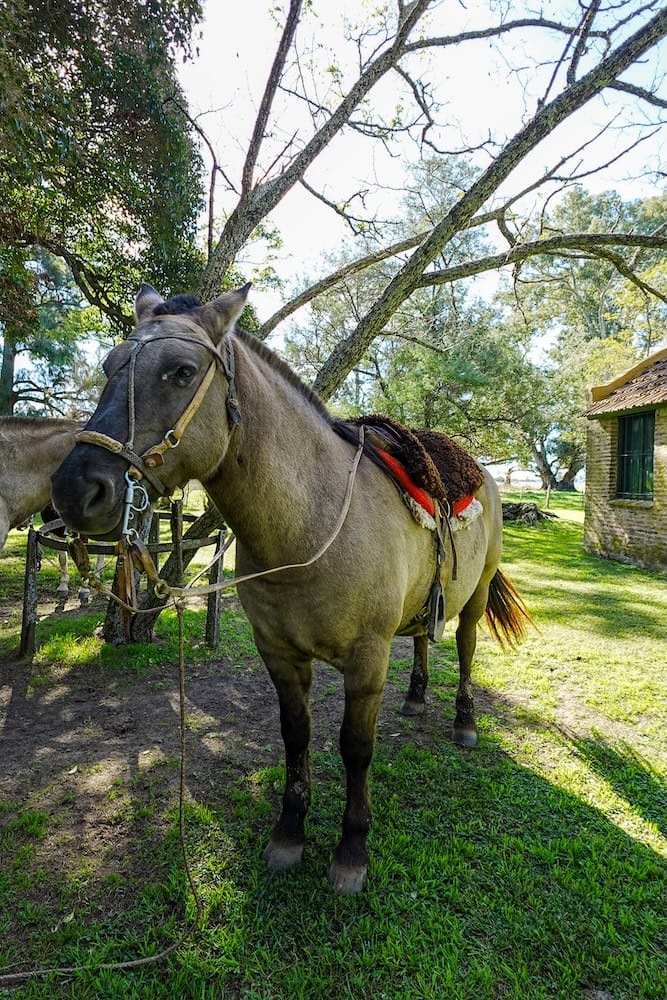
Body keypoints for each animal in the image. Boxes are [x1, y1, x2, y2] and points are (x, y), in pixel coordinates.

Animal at [51, 284, 531, 894]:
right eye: (109, 366)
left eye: (182, 372)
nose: (74, 489)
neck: (311, 524)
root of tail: (485, 473)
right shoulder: (278, 653)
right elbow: (296, 734)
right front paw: (289, 832)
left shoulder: (367, 658)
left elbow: (355, 747)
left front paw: (351, 849)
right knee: (424, 637)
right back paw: (417, 696)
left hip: (475, 595)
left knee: (466, 649)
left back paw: (464, 722)